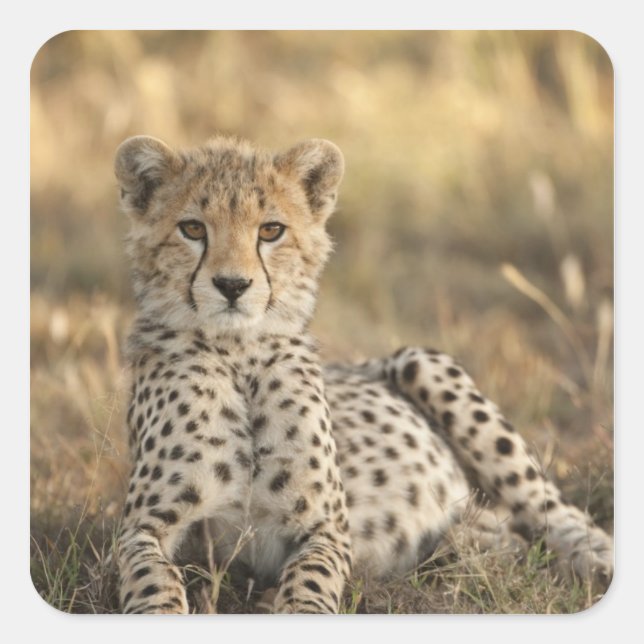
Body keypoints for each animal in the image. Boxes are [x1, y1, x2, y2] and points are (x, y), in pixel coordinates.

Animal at [114, 134, 613, 614]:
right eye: (193, 228)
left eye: (271, 230)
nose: (232, 285)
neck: (239, 355)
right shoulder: (142, 526)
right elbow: (152, 584)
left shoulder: (328, 525)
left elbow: (311, 585)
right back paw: (472, 538)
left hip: (423, 361)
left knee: (556, 511)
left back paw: (595, 561)